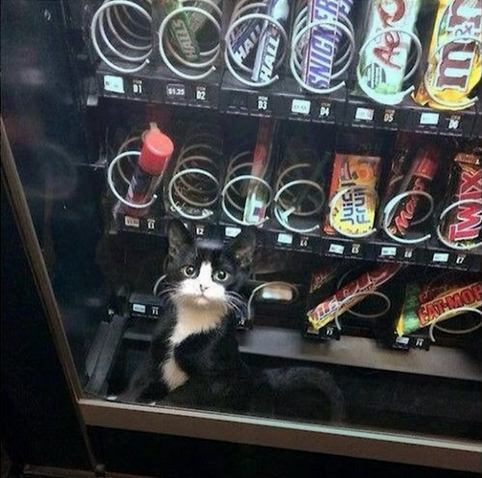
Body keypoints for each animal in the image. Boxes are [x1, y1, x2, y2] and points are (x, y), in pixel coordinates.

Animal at [120, 220, 346, 422]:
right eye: (189, 270)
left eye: (221, 275)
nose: (202, 286)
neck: (193, 319)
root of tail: (257, 375)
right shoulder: (153, 357)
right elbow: (139, 382)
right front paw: (126, 398)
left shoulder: (218, 380)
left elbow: (182, 396)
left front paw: (160, 404)